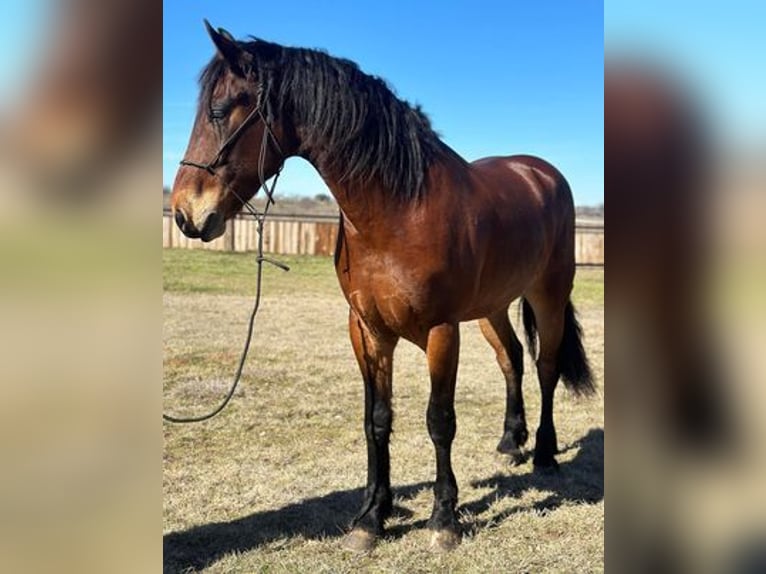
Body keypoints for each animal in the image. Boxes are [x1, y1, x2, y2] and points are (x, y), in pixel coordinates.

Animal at [171, 22, 596, 552]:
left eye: (221, 110)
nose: (185, 214)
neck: (398, 211)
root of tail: (540, 172)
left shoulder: (441, 332)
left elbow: (439, 420)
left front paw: (443, 520)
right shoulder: (367, 330)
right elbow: (377, 419)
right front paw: (372, 518)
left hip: (548, 296)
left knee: (545, 367)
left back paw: (544, 454)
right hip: (492, 307)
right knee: (512, 359)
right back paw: (509, 442)